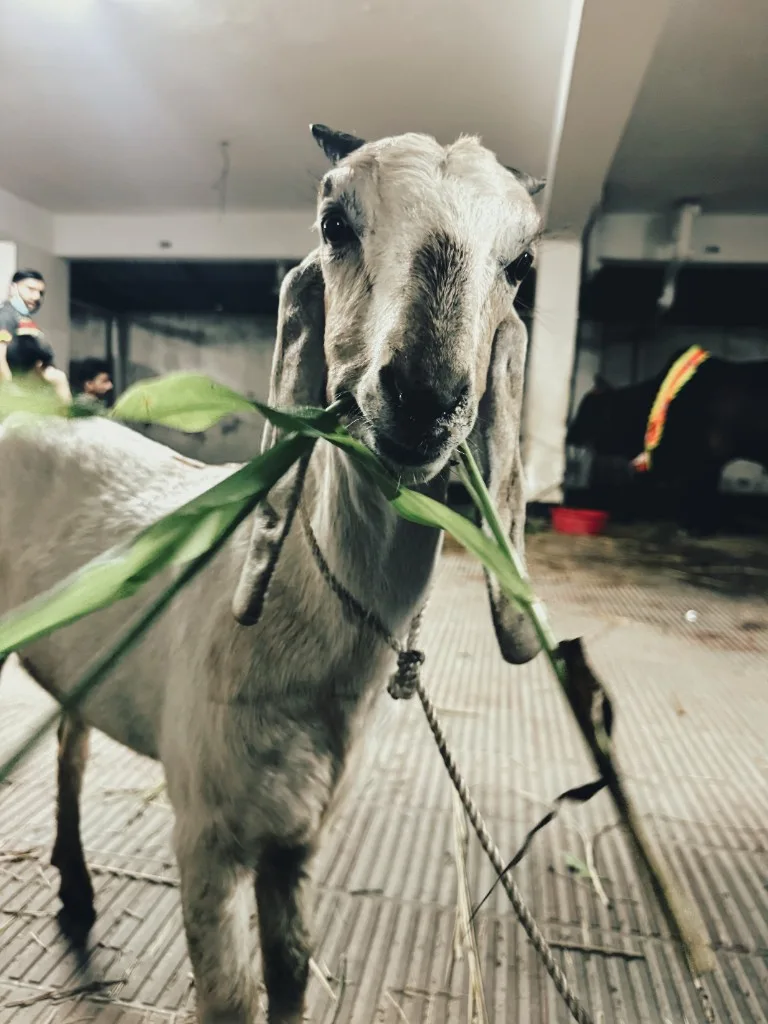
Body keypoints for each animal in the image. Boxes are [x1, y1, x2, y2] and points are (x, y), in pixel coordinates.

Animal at [0, 124, 544, 1024]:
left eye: (523, 263)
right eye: (333, 221)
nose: (423, 394)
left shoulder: (299, 835)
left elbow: (291, 970)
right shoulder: (206, 832)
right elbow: (230, 997)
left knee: (73, 747)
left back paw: (77, 889)